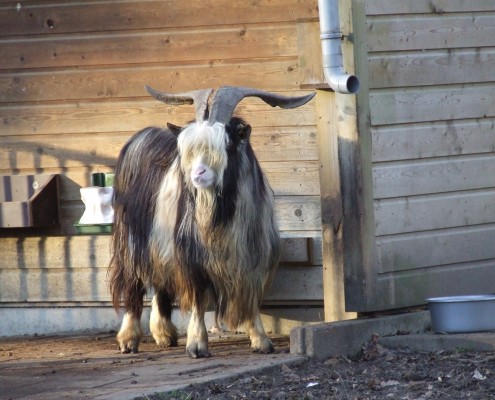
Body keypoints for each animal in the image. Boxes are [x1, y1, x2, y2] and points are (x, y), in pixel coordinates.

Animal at [109, 86, 316, 358]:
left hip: (160, 244)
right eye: (188, 150)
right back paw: (128, 339)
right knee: (134, 283)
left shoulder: (251, 255)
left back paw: (164, 334)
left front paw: (261, 340)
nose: (198, 174)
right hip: (131, 241)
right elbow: (198, 297)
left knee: (161, 282)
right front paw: (197, 345)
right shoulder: (192, 255)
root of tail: (139, 137)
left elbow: (250, 296)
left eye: (227, 143)